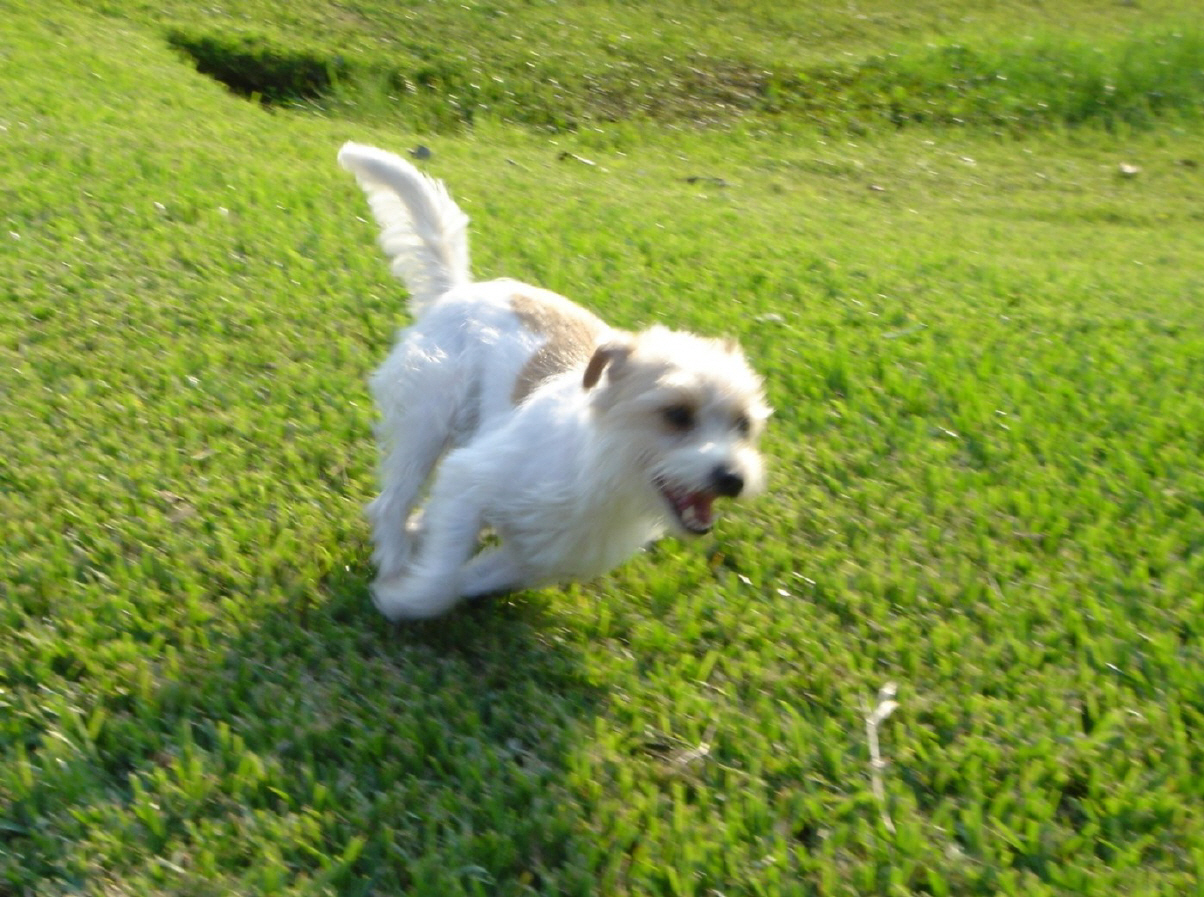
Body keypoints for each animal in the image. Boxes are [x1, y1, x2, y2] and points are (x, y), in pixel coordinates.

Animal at [339, 142, 770, 621]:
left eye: (744, 426)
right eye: (677, 415)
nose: (733, 478)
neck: (600, 472)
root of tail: (460, 291)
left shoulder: (539, 558)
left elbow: (464, 578)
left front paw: (418, 584)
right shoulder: (470, 479)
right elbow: (439, 580)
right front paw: (401, 596)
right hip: (427, 421)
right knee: (391, 503)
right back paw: (395, 555)